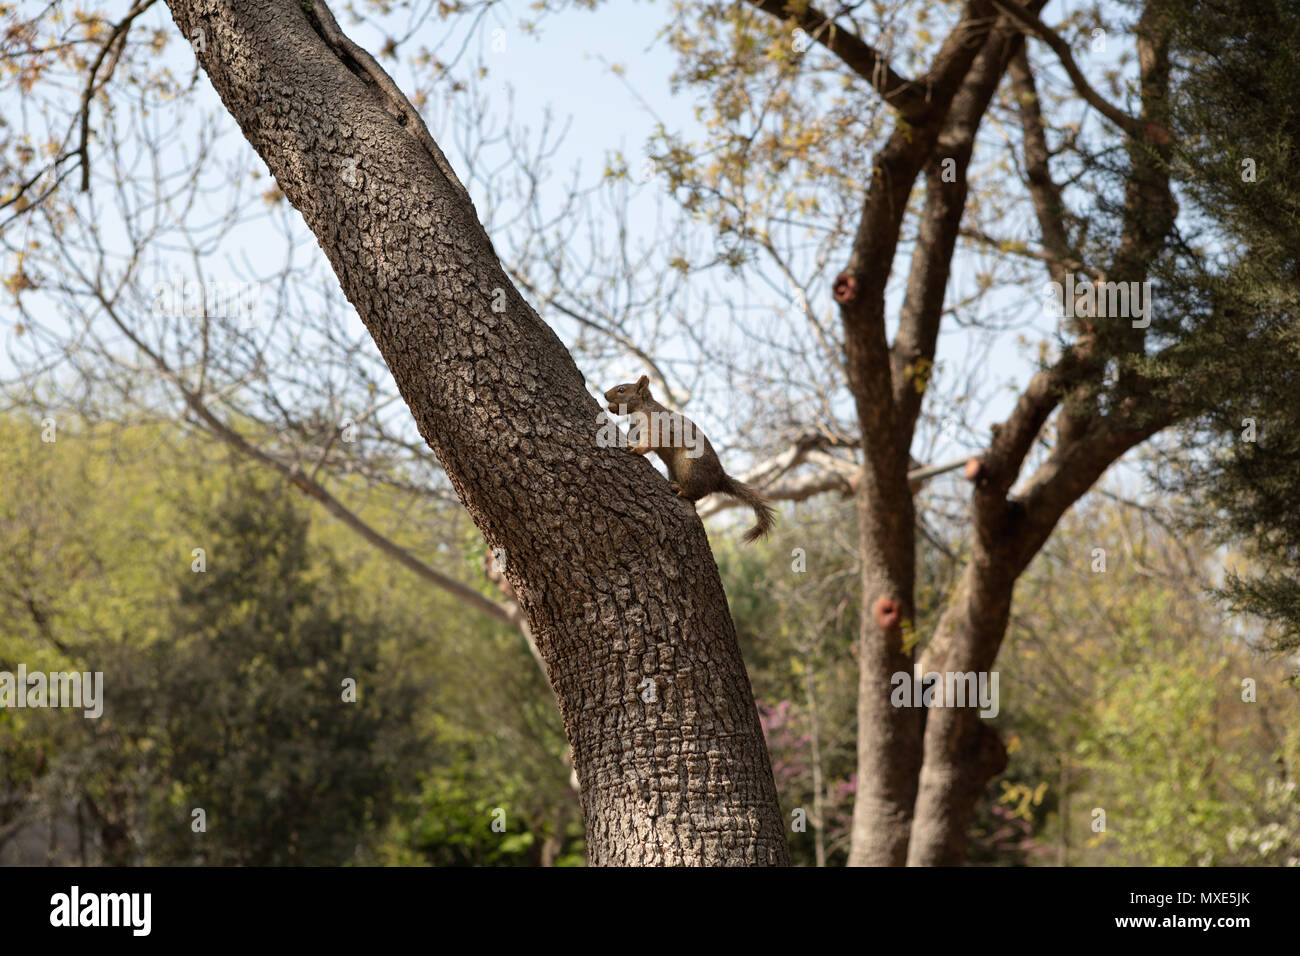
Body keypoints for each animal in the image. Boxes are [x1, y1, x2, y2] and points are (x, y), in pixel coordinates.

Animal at [603, 375, 775, 542]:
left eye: (621, 389)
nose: (605, 394)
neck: (641, 409)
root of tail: (719, 478)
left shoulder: (656, 425)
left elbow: (652, 441)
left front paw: (636, 448)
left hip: (689, 466)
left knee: (698, 493)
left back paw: (683, 490)